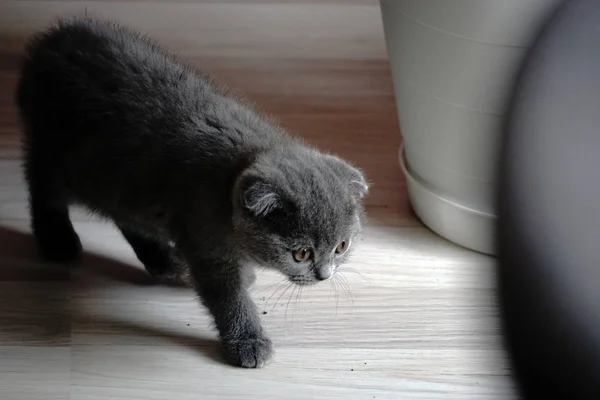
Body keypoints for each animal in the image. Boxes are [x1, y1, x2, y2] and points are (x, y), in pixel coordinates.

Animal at [14, 18, 368, 368]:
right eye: (301, 254)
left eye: (342, 246)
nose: (324, 275)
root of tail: (53, 39)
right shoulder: (205, 242)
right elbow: (228, 298)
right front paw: (248, 341)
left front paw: (246, 277)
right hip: (58, 154)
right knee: (43, 188)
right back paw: (57, 240)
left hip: (120, 181)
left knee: (125, 213)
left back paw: (163, 259)